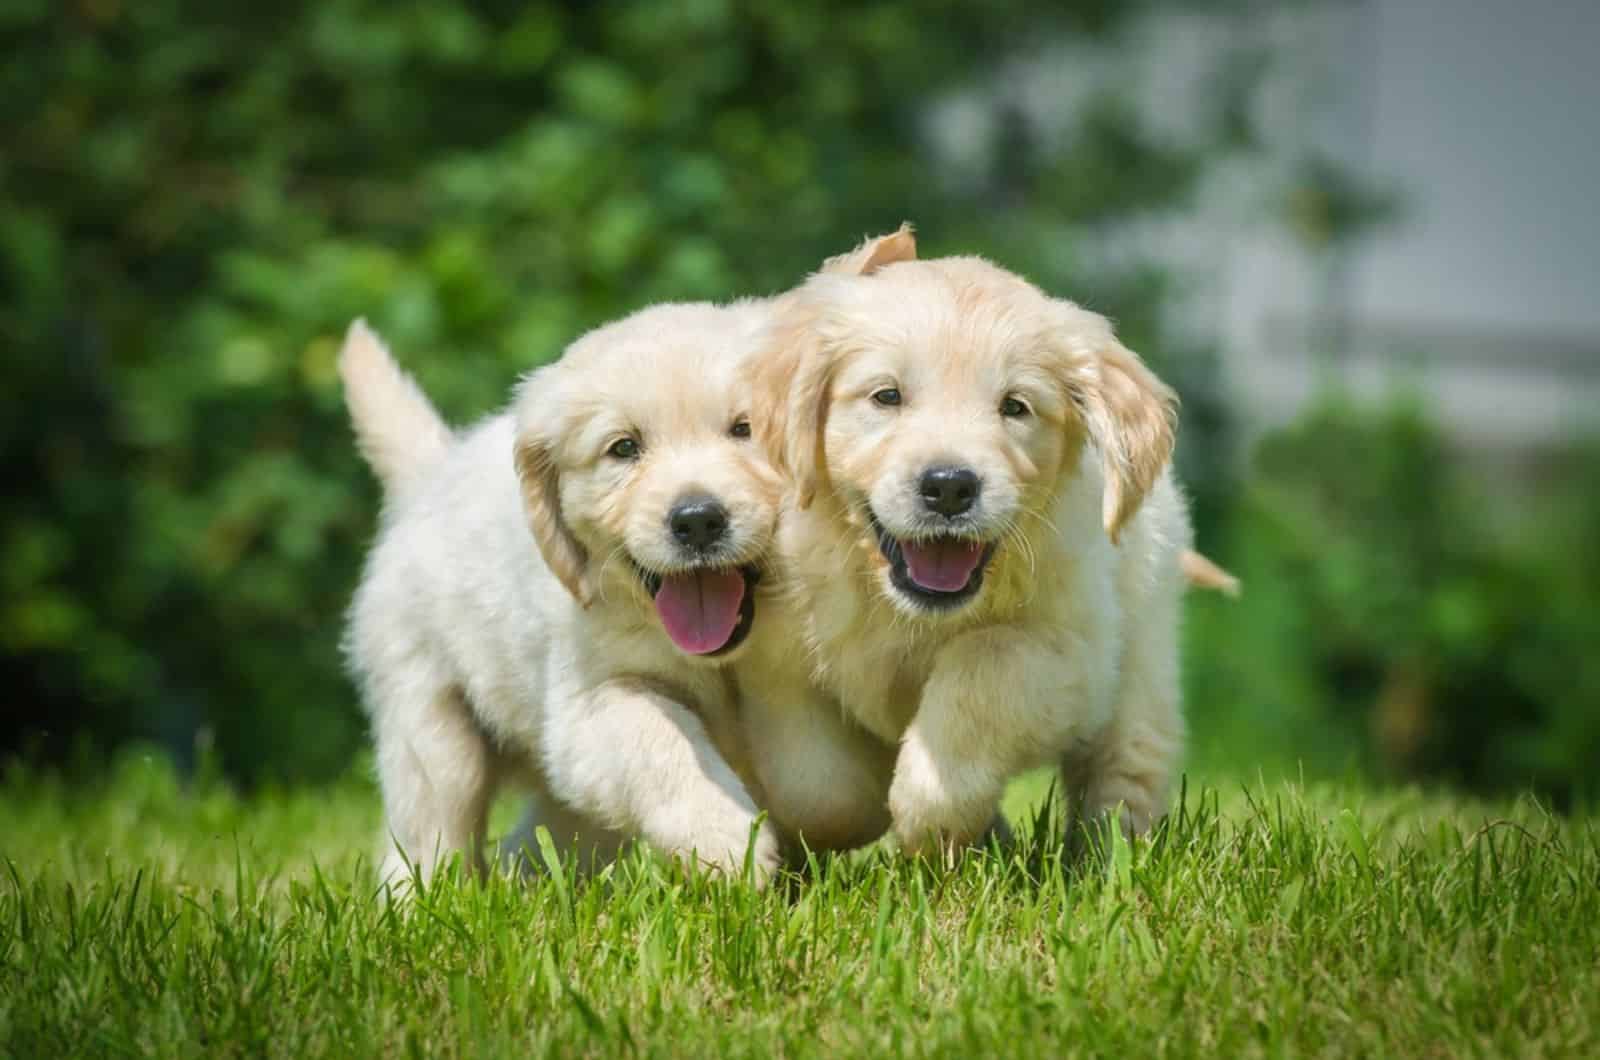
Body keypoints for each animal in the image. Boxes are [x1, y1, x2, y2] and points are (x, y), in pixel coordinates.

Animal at [340, 305, 784, 890]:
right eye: (624, 448)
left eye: (744, 429)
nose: (697, 520)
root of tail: (432, 473)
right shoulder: (589, 704)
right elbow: (657, 739)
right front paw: (725, 839)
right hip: (428, 721)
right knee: (428, 831)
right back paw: (424, 899)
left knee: (540, 840)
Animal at [742, 228, 1196, 858]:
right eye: (887, 396)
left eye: (1015, 406)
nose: (950, 487)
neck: (908, 611)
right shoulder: (779, 653)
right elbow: (817, 783)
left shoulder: (1070, 651)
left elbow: (981, 670)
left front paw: (929, 816)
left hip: (1141, 652)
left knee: (1126, 770)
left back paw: (1107, 857)